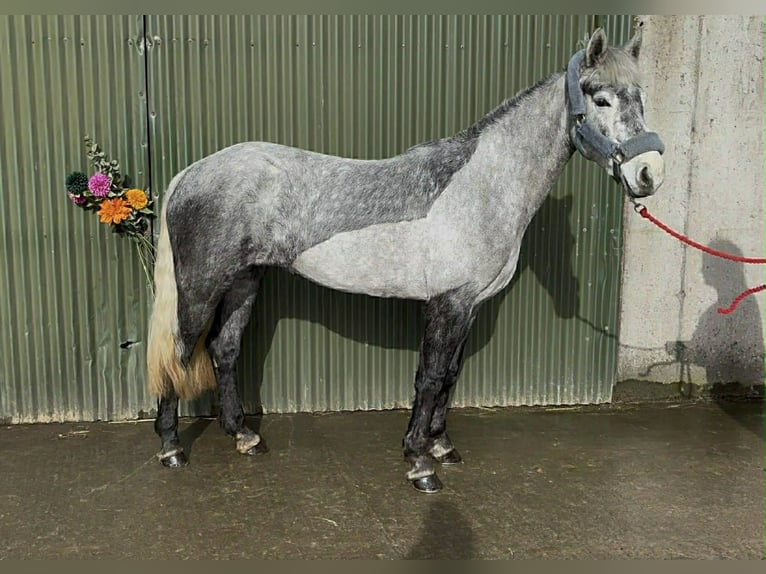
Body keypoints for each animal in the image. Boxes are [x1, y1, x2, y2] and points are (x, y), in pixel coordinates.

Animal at [146, 28, 665, 493]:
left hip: (243, 282)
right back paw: (170, 447)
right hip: (202, 286)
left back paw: (244, 436)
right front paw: (419, 463)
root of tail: (190, 173)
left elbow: (450, 376)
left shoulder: (470, 306)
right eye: (602, 100)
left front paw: (441, 446)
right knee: (178, 350)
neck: (482, 187)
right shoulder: (447, 303)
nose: (649, 174)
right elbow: (430, 377)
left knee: (224, 349)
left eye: (640, 98)